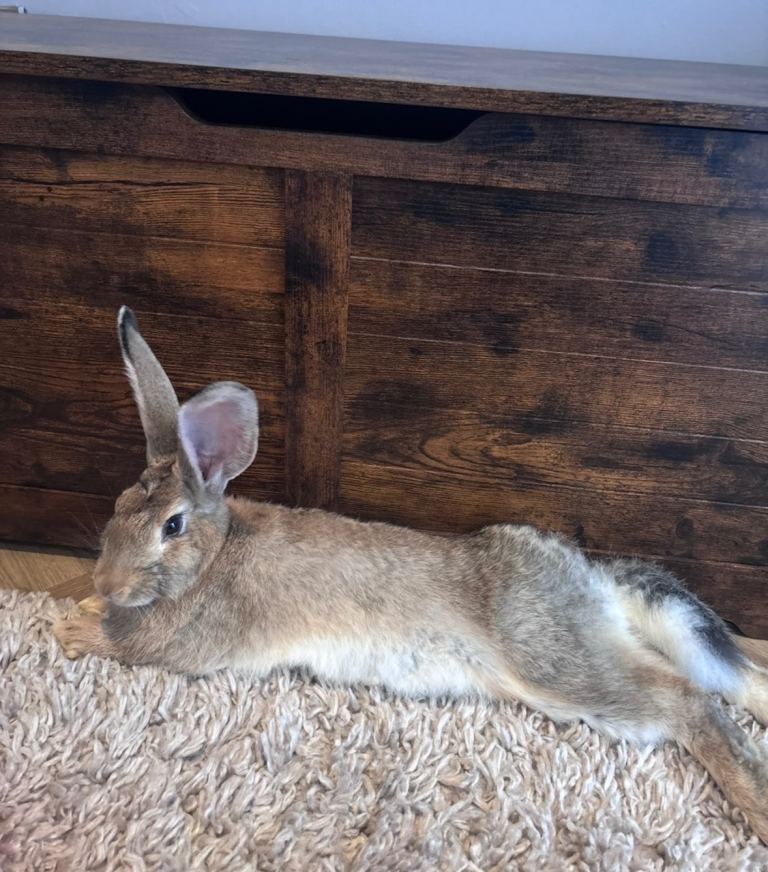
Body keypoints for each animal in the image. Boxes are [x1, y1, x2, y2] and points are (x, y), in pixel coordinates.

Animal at [54, 306, 768, 843]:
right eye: (117, 505)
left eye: (171, 526)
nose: (105, 586)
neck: (212, 557)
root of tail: (588, 575)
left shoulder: (188, 645)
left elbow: (131, 648)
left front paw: (74, 630)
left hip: (558, 666)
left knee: (688, 701)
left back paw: (755, 806)